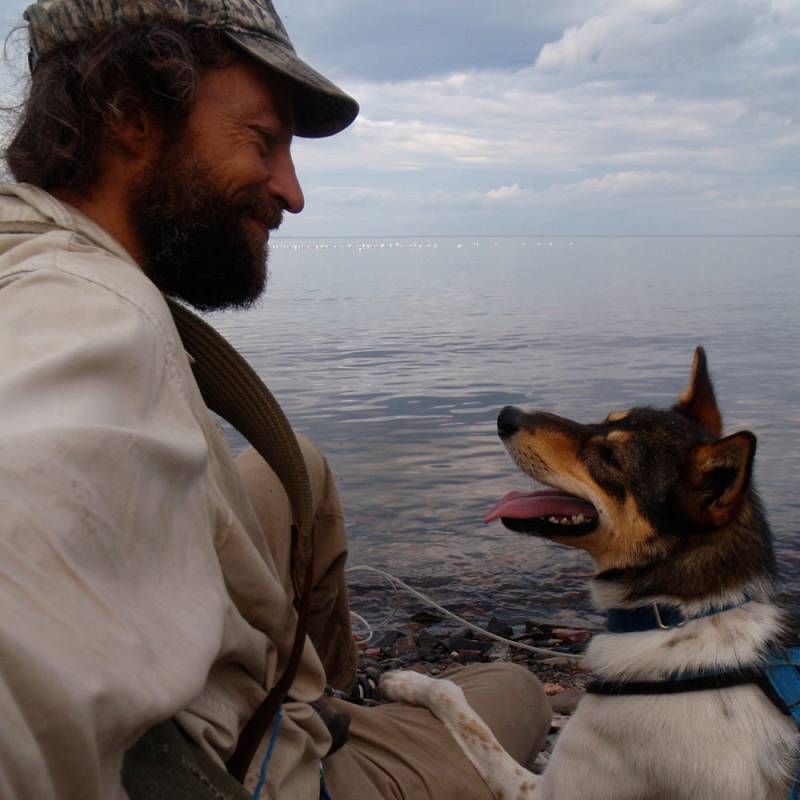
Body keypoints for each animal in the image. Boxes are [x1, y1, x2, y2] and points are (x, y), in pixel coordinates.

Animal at [382, 348, 800, 800]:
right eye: (604, 420)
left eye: (610, 458)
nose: (506, 415)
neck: (677, 616)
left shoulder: (543, 790)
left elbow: (458, 702)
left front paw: (404, 682)